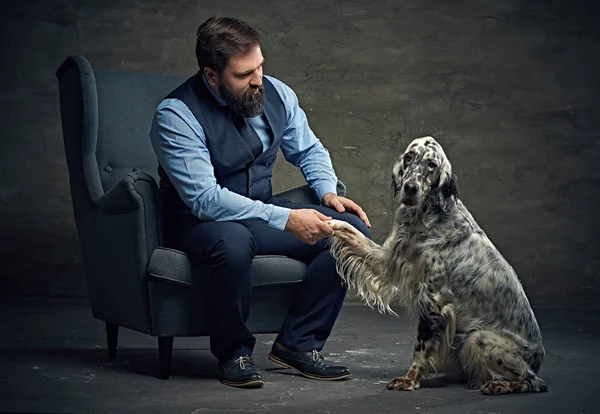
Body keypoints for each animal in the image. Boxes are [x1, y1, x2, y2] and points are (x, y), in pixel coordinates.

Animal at [326, 136, 548, 394]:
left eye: (432, 164)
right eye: (409, 157)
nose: (410, 188)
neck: (423, 217)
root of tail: (539, 358)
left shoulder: (433, 301)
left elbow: (421, 348)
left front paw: (409, 380)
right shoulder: (388, 259)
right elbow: (352, 233)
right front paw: (327, 222)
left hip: (477, 337)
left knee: (533, 381)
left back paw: (498, 385)